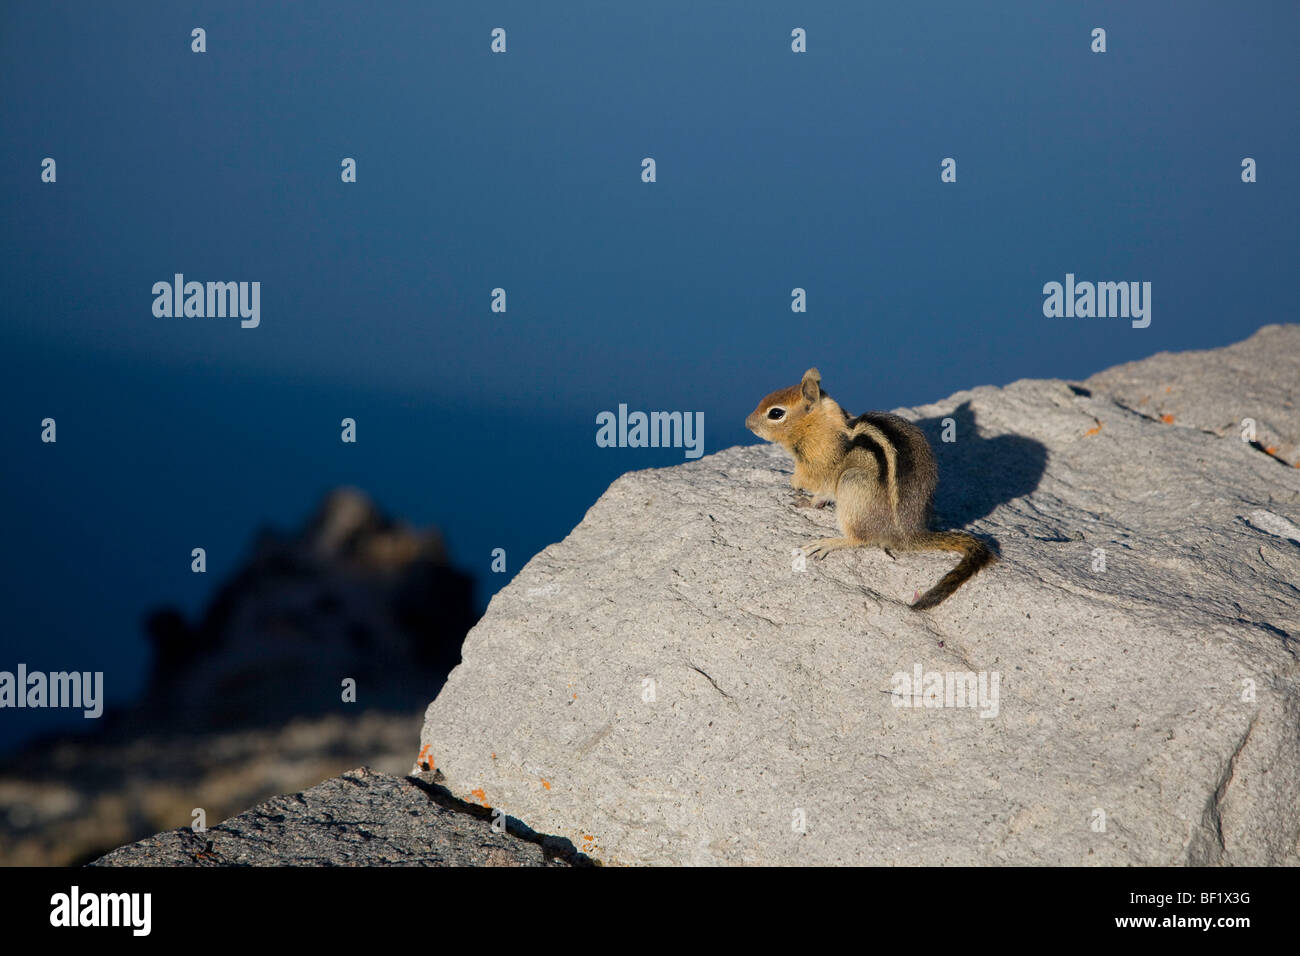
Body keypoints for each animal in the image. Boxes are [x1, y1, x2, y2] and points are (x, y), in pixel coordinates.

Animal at [748, 369, 987, 608]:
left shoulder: (818, 468)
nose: (748, 423)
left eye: (776, 413)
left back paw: (829, 542)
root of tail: (907, 534)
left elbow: (814, 486)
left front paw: (796, 487)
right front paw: (805, 500)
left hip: (852, 483)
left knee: (861, 539)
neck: (819, 426)